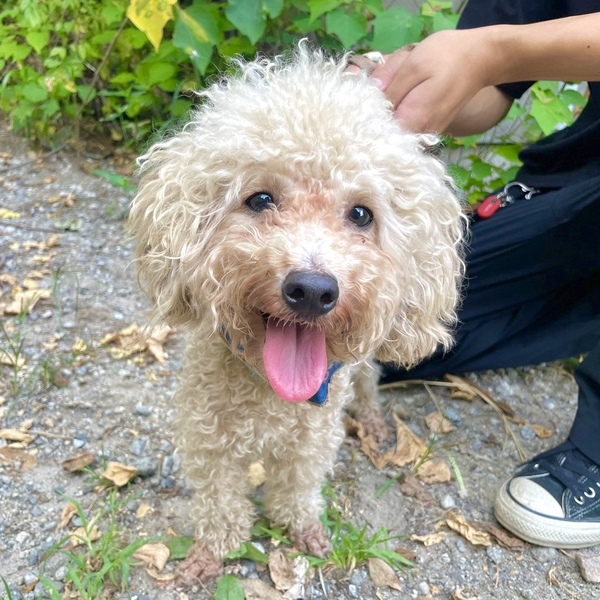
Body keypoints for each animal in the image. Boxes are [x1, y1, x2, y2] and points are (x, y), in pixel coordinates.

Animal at [128, 44, 464, 583]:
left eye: (361, 214)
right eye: (260, 199)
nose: (312, 290)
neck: (270, 395)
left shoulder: (312, 439)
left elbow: (297, 488)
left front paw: (303, 530)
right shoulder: (208, 434)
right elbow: (220, 500)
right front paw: (211, 551)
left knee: (368, 379)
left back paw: (372, 421)